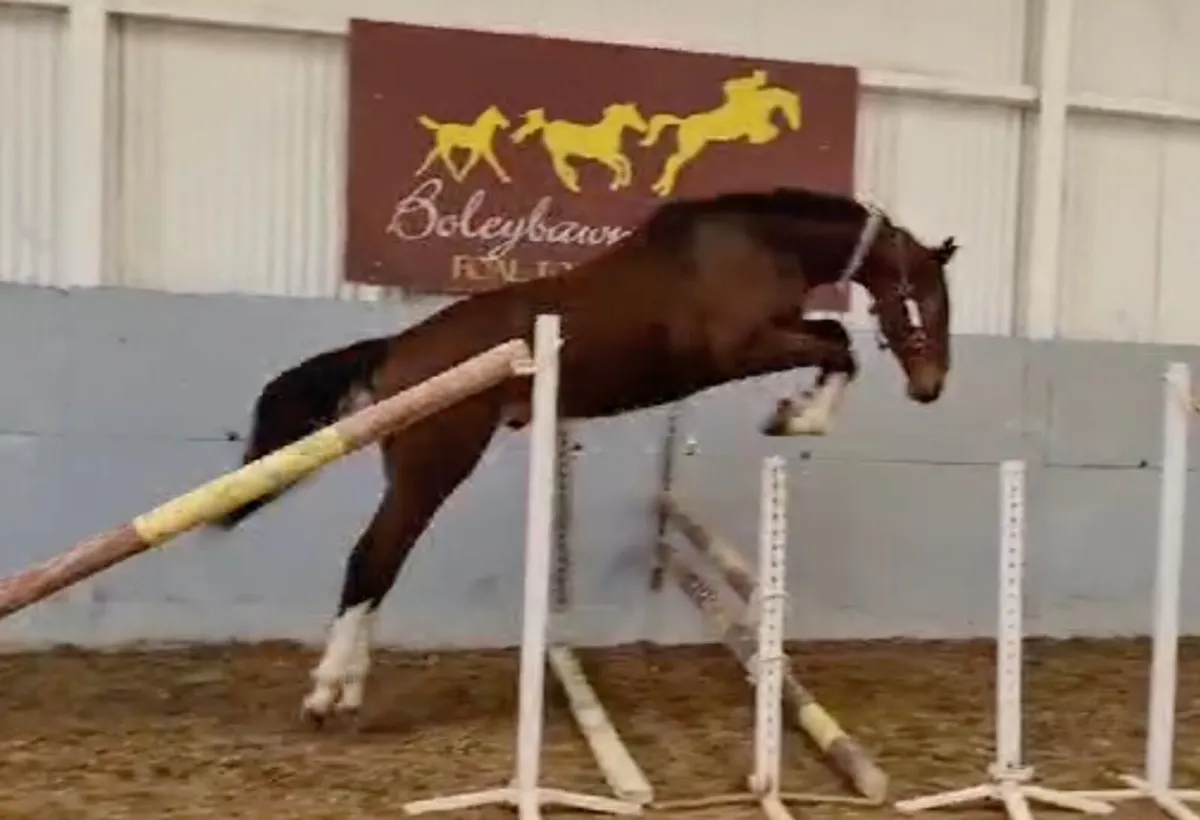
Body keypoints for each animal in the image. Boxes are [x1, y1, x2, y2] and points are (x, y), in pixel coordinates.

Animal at [212, 186, 958, 725]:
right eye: (921, 301)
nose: (930, 389)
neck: (753, 245)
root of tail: (399, 349)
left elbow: (833, 337)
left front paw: (792, 412)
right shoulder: (742, 348)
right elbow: (841, 345)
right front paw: (797, 416)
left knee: (379, 563)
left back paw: (348, 686)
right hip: (436, 464)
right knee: (372, 558)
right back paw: (326, 692)